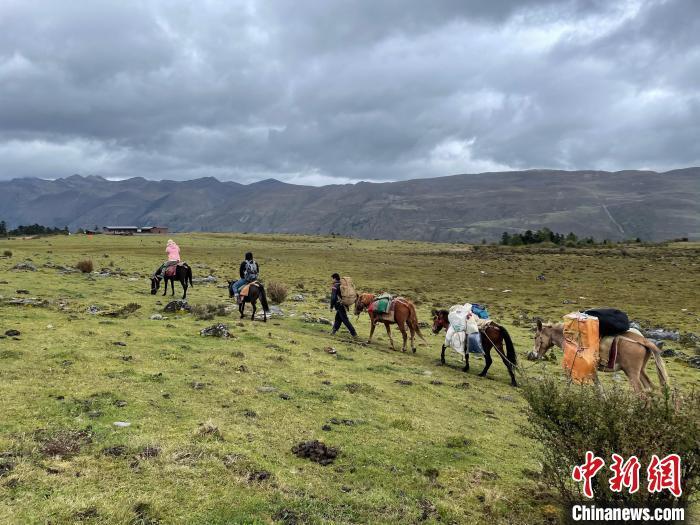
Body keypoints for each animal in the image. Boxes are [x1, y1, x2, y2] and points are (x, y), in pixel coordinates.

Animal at [528, 320, 668, 392]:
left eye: (535, 337)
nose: (532, 355)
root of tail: (643, 340)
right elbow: (598, 388)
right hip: (641, 371)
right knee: (650, 389)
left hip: (632, 373)